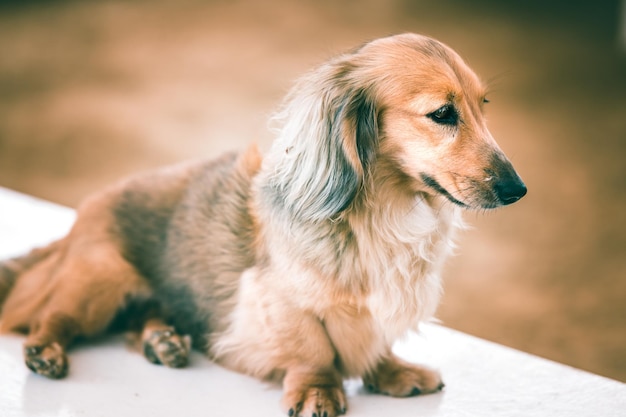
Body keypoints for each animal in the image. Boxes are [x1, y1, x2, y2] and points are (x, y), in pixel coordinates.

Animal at [1, 33, 520, 416]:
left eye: (483, 106)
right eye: (442, 114)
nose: (518, 190)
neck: (383, 218)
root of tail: (84, 213)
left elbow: (376, 345)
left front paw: (392, 372)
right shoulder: (278, 299)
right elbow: (313, 347)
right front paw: (317, 390)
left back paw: (163, 341)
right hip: (99, 278)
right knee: (53, 316)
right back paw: (47, 350)